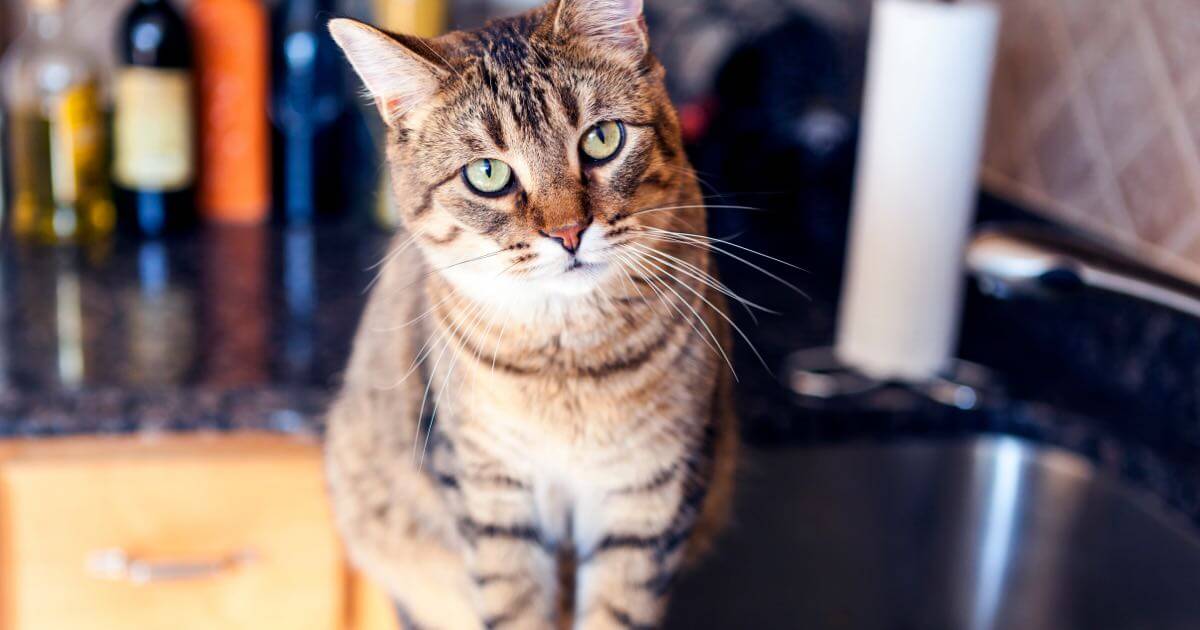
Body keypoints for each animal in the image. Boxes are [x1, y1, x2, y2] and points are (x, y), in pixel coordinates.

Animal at [328, 2, 739, 624]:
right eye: (487, 174)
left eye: (602, 138)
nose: (569, 232)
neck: (566, 361)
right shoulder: (491, 491)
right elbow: (513, 603)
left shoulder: (654, 490)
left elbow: (619, 606)